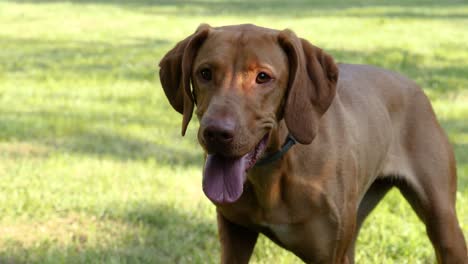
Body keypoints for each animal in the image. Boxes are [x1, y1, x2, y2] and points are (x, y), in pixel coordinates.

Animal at [158, 23, 468, 262]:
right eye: (205, 73)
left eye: (263, 77)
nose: (216, 134)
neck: (275, 168)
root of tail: (414, 86)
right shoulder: (236, 234)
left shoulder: (329, 254)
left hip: (443, 224)